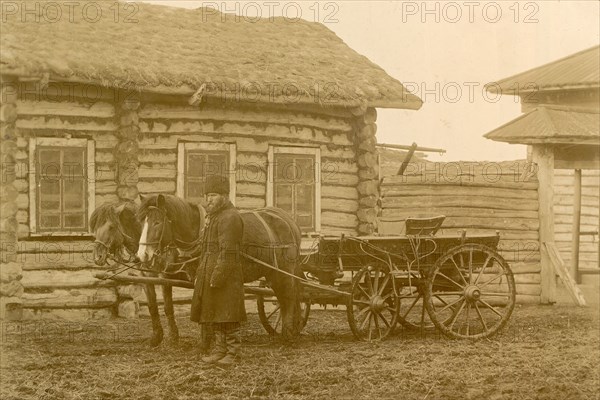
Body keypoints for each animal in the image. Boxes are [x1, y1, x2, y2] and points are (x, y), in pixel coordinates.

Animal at [137, 193, 304, 340]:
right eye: (142, 222)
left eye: (157, 222)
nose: (142, 255)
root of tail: (289, 222)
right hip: (272, 272)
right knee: (287, 298)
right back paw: (293, 329)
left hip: (283, 271)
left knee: (289, 297)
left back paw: (288, 334)